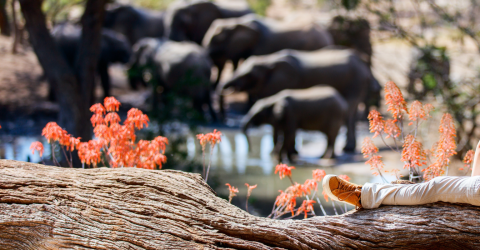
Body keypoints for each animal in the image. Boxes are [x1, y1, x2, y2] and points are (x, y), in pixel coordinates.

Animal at [219, 47, 374, 152]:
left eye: (249, 76)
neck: (268, 60)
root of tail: (364, 66)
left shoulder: (285, 82)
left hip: (355, 82)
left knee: (349, 110)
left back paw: (347, 149)